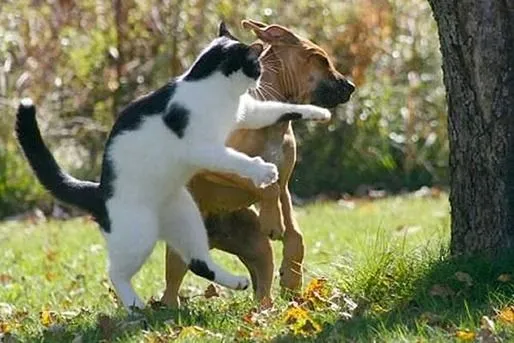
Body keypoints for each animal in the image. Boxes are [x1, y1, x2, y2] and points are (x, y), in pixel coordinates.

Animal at [16, 22, 330, 312]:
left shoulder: (247, 112)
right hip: (139, 234)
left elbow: (279, 109)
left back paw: (235, 281)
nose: (259, 82)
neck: (211, 87)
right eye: (256, 67)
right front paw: (263, 170)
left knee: (198, 261)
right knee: (115, 272)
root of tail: (98, 192)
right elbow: (237, 160)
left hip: (186, 217)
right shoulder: (205, 148)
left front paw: (317, 113)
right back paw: (136, 305)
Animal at [160, 20, 352, 308]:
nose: (351, 86)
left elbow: (294, 234)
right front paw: (273, 222)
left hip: (256, 245)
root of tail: (213, 237)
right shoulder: (214, 166)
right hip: (181, 249)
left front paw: (292, 277)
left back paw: (266, 310)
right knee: (172, 283)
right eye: (320, 59)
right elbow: (263, 184)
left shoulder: (284, 185)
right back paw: (169, 309)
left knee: (262, 284)